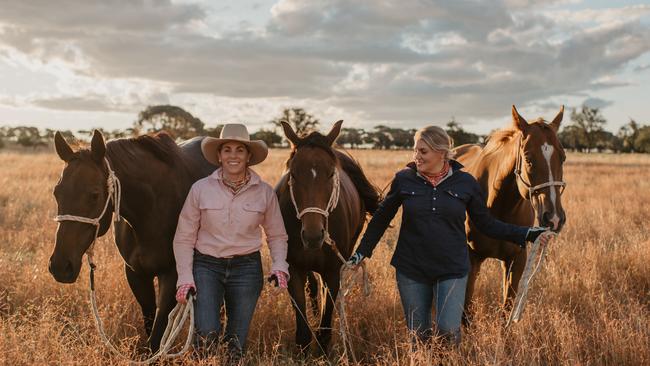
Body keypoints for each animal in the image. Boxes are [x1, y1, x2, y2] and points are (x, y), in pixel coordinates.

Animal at [49, 132, 215, 352]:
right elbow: (150, 321)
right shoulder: (136, 273)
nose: (60, 266)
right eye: (56, 192)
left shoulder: (172, 275)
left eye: (94, 195)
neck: (152, 211)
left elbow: (158, 332)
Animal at [274, 121, 380, 354]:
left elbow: (325, 325)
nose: (313, 236)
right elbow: (303, 330)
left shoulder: (333, 271)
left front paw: (322, 352)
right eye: (293, 174)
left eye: (331, 174)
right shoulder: (294, 270)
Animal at [454, 105, 564, 320]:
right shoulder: (471, 259)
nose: (554, 218)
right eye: (528, 158)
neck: (499, 206)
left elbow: (506, 310)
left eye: (563, 157)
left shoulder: (517, 260)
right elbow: (466, 313)